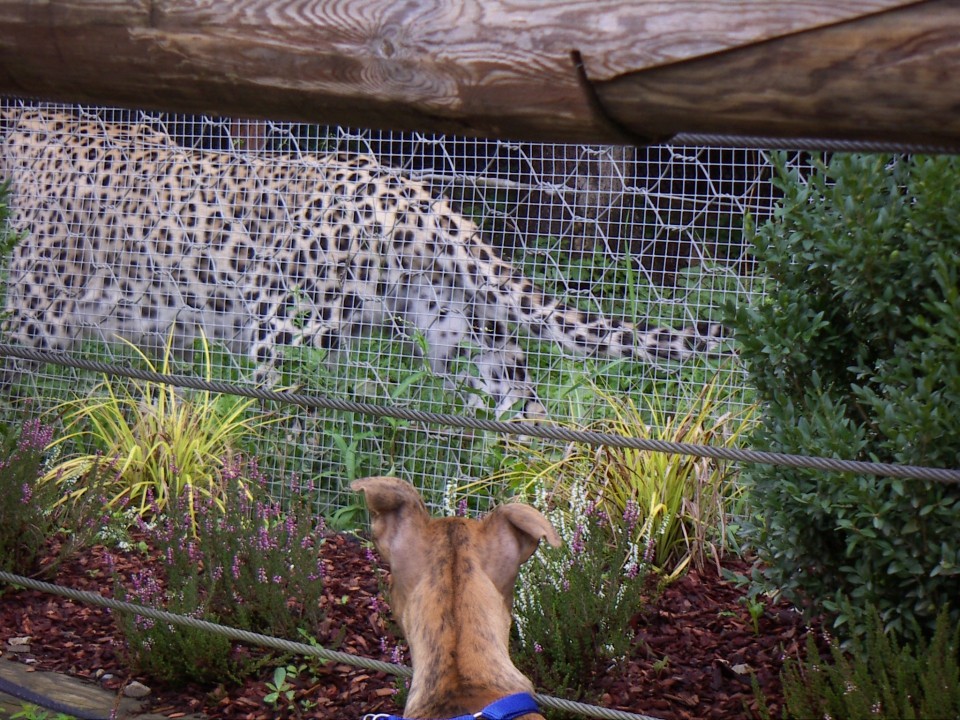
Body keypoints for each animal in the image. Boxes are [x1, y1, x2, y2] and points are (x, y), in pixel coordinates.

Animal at [0, 109, 720, 420]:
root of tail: (416, 194)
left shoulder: (35, 322)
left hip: (288, 328)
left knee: (287, 415)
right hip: (456, 330)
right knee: (519, 403)